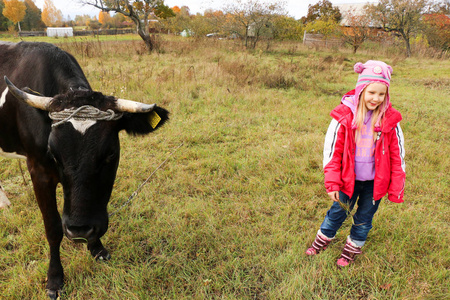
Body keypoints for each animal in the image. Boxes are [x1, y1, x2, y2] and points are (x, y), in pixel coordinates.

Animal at [0, 41, 169, 298]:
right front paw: (54, 278)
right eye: (53, 154)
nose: (79, 229)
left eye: (110, 154)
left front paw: (96, 248)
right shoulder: (38, 170)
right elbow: (53, 227)